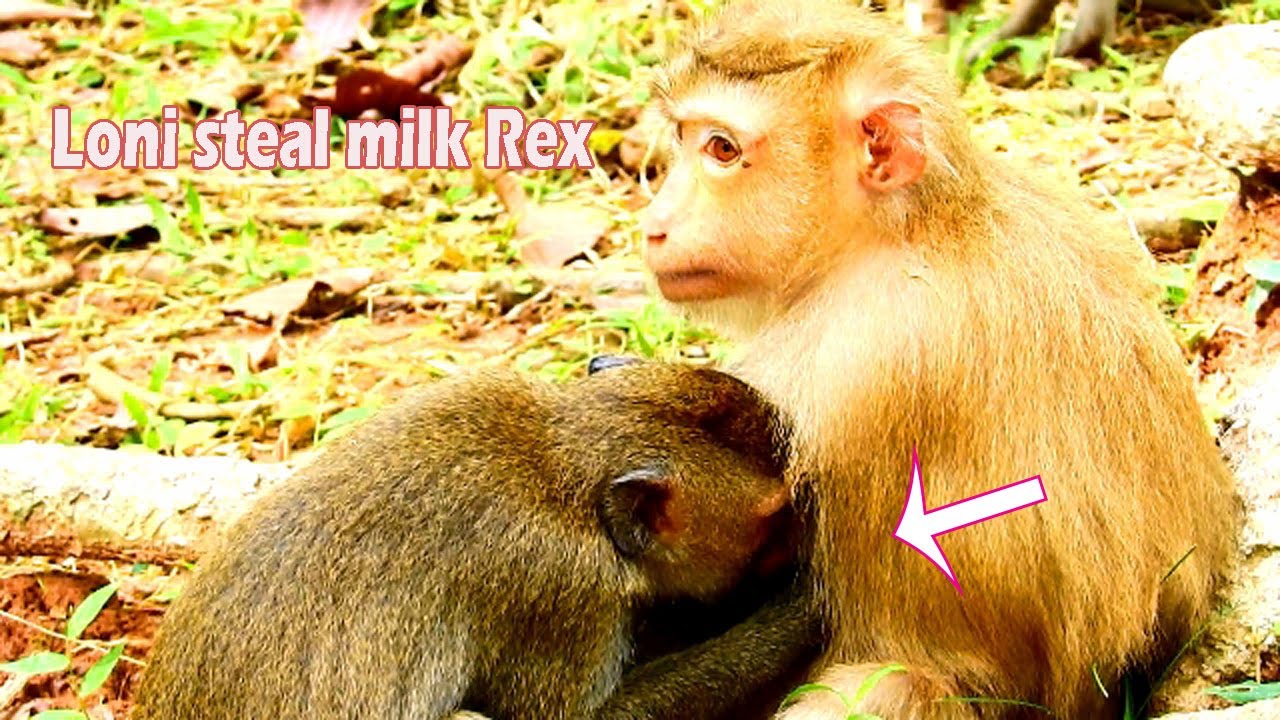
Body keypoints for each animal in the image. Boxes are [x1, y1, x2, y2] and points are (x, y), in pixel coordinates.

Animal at [639, 2, 1240, 718]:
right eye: (684, 138)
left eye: (723, 150)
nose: (654, 223)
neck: (908, 232)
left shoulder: (847, 374)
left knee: (886, 685)